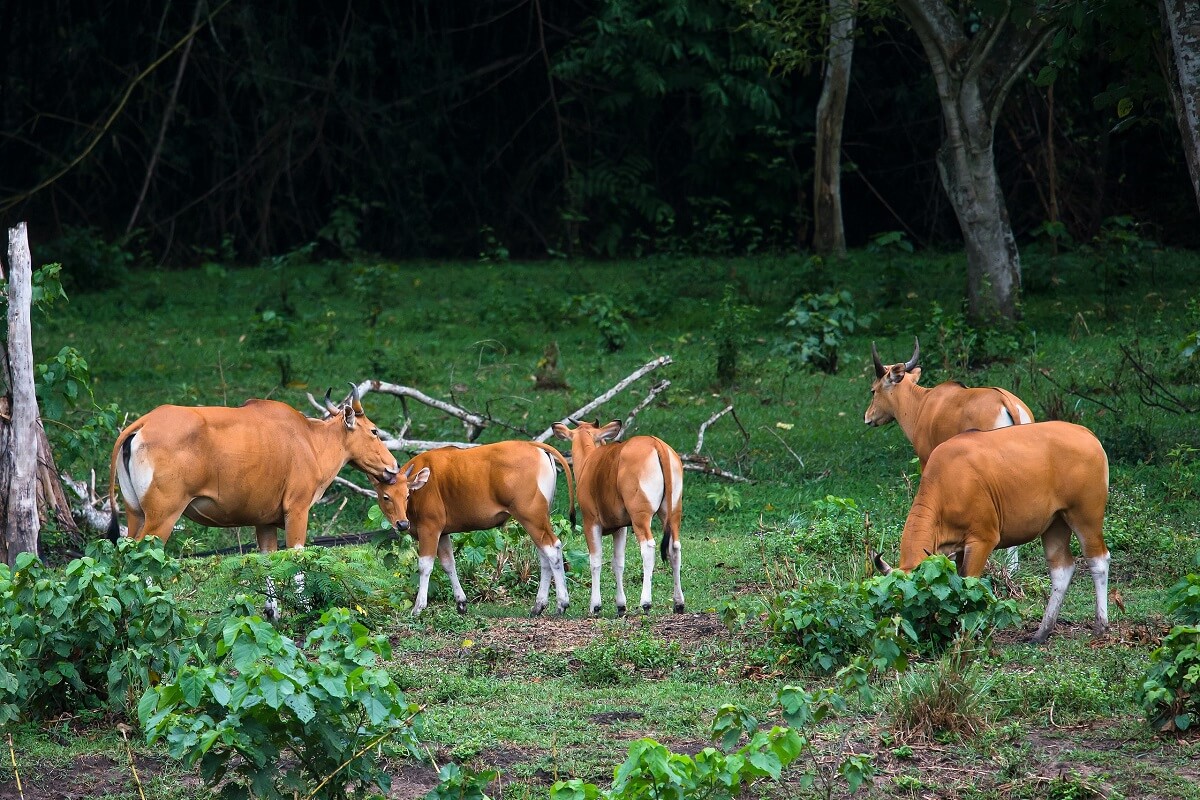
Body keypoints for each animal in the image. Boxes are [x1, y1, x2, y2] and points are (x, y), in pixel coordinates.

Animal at [109, 391, 398, 618]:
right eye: (374, 431)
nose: (393, 466)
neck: (310, 441)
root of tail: (143, 423)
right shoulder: (297, 510)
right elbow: (297, 557)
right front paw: (305, 609)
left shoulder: (264, 522)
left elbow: (268, 559)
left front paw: (273, 612)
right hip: (163, 515)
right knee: (142, 553)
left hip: (136, 513)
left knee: (125, 548)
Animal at [374, 441, 580, 618]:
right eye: (386, 497)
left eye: (407, 495)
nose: (402, 524)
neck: (423, 486)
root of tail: (535, 446)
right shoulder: (443, 533)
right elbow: (449, 564)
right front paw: (461, 603)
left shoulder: (429, 528)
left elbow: (425, 566)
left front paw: (418, 607)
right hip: (539, 518)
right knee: (543, 556)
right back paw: (538, 606)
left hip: (531, 516)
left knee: (552, 549)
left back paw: (561, 604)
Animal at [552, 422, 686, 618]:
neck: (589, 462)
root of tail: (657, 444)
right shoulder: (621, 528)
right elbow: (618, 563)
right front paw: (621, 606)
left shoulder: (591, 523)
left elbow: (595, 561)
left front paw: (595, 605)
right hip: (673, 513)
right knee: (674, 548)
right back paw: (679, 603)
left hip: (640, 517)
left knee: (648, 548)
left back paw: (646, 603)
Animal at [878, 419, 1108, 642]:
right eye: (895, 602)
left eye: (916, 599)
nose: (904, 631)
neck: (947, 483)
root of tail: (1086, 433)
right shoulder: (956, 549)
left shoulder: (983, 539)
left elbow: (969, 585)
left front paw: (969, 633)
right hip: (1055, 523)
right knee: (1061, 569)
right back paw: (1042, 632)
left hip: (1085, 517)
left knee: (1098, 561)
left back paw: (1101, 625)